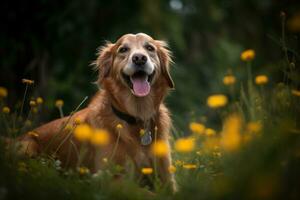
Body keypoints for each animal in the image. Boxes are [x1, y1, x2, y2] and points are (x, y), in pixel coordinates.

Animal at [17, 33, 176, 191]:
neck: (138, 117)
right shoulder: (109, 178)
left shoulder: (167, 180)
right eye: (123, 49)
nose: (139, 58)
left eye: (150, 48)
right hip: (27, 147)